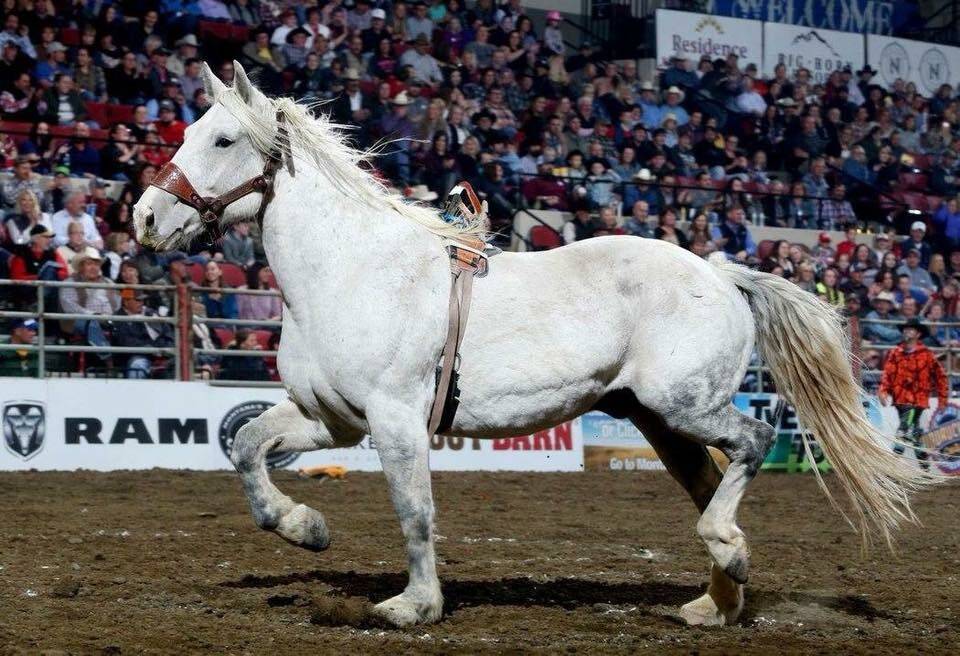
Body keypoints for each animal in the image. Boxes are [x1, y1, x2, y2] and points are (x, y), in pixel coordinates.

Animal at [135, 62, 936, 632]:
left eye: (222, 140)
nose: (144, 218)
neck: (351, 269)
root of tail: (718, 270)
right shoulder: (328, 419)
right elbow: (247, 449)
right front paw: (306, 528)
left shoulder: (395, 421)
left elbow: (414, 512)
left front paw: (414, 606)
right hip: (658, 419)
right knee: (713, 477)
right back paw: (717, 601)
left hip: (684, 403)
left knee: (753, 442)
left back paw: (729, 557)